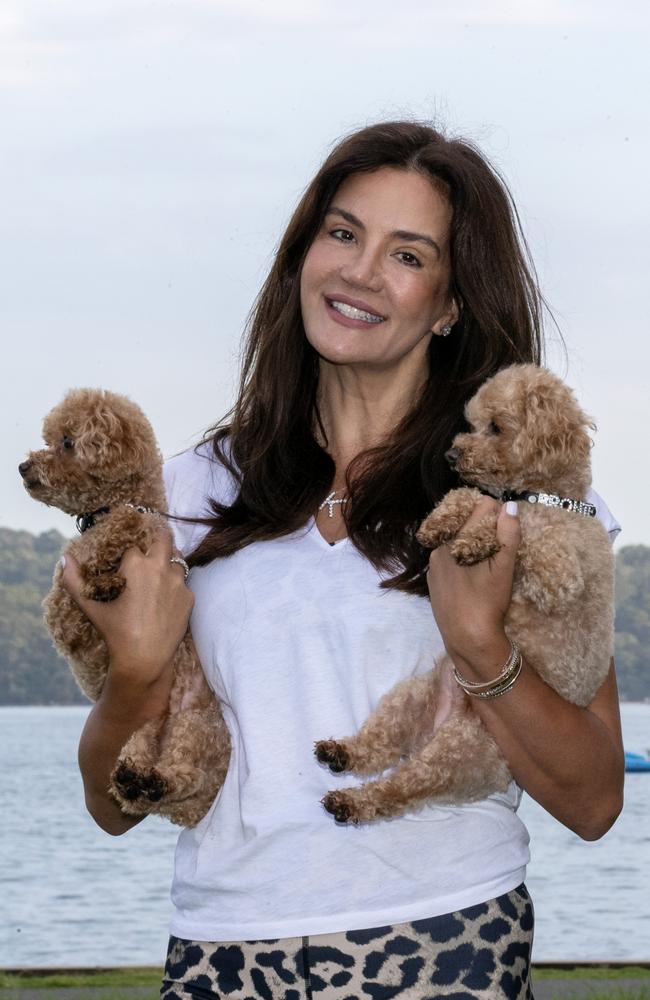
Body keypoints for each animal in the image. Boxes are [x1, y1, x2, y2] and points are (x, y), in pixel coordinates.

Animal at [316, 364, 612, 824]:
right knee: (378, 746)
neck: (550, 497)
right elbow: (467, 495)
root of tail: (439, 724)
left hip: (459, 752)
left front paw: (474, 540)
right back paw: (340, 753)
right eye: (470, 424)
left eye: (496, 428)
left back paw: (351, 801)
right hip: (408, 699)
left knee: (399, 788)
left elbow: (516, 531)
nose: (452, 457)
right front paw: (438, 524)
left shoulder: (557, 573)